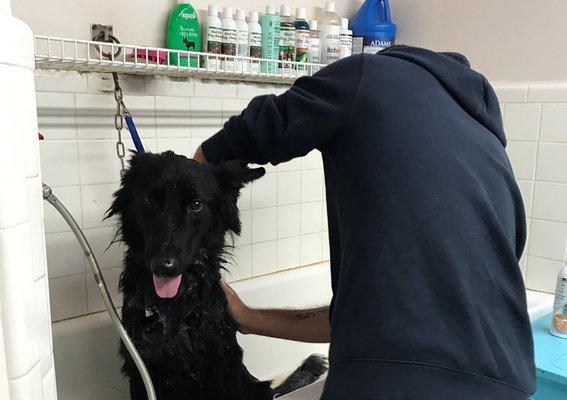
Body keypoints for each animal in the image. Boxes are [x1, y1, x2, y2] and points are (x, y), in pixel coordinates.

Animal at [107, 152, 328, 398]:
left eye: (196, 205)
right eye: (150, 200)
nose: (164, 266)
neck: (174, 309)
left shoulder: (220, 370)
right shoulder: (141, 370)